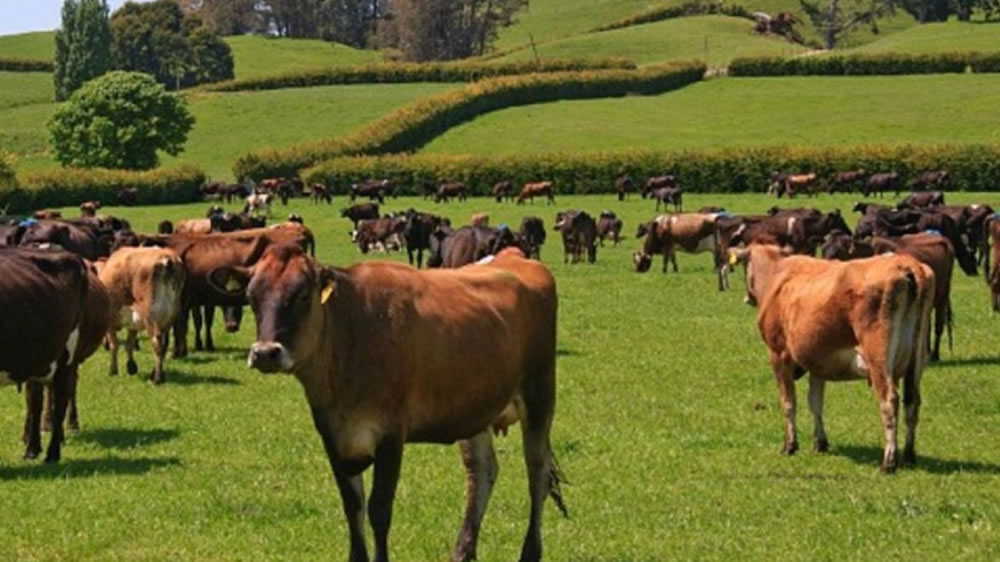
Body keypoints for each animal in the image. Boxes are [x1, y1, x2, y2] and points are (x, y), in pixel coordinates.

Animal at [0, 247, 88, 462]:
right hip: (38, 360)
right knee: (36, 402)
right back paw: (31, 449)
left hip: (66, 357)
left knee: (60, 400)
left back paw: (52, 454)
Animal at [101, 247, 188, 382]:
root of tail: (167, 258)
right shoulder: (133, 321)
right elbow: (129, 344)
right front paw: (131, 366)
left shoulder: (110, 320)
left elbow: (114, 345)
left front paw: (113, 370)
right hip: (170, 316)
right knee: (164, 343)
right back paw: (156, 374)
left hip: (151, 316)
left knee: (157, 342)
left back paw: (157, 378)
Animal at [209, 243, 572, 560]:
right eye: (251, 297)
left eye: (302, 295)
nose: (265, 353)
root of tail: (515, 257)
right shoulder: (332, 435)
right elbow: (352, 508)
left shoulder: (391, 435)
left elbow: (379, 510)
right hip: (477, 409)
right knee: (482, 471)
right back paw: (462, 551)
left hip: (540, 394)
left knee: (537, 472)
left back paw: (530, 552)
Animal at [732, 243, 932, 470]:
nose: (747, 297)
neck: (777, 273)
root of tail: (907, 264)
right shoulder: (817, 362)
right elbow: (815, 402)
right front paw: (820, 443)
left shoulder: (778, 354)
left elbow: (788, 402)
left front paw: (790, 445)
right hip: (917, 359)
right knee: (912, 403)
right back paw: (908, 455)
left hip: (878, 359)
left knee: (889, 401)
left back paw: (889, 461)